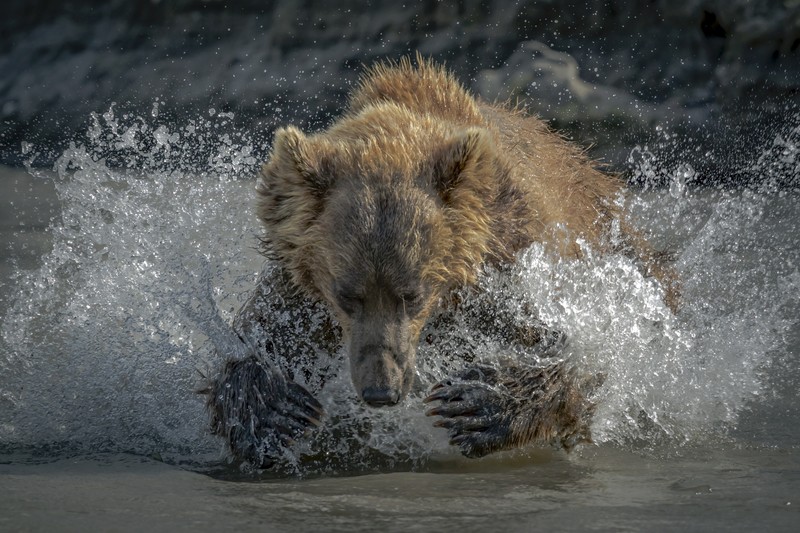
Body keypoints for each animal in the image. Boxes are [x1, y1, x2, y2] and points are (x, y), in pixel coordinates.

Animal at [204, 55, 677, 468]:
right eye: (346, 295)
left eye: (412, 294)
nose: (381, 391)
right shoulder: (300, 292)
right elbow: (257, 339)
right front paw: (273, 410)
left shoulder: (513, 265)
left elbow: (591, 351)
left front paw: (473, 404)